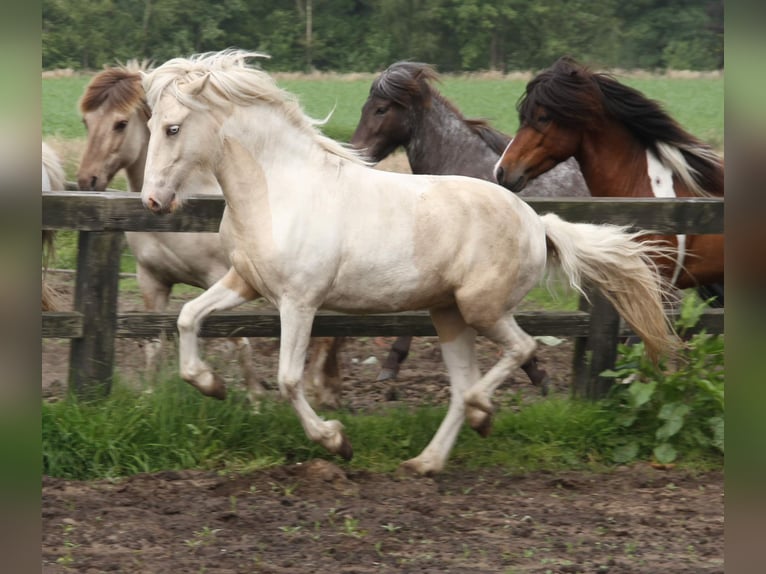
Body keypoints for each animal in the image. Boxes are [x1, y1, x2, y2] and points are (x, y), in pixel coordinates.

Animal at [77, 62, 344, 405]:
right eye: (86, 121)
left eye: (120, 124)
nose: (87, 180)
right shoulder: (152, 280)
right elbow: (153, 343)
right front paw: (150, 395)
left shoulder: (219, 275)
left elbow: (238, 339)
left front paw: (253, 396)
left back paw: (324, 388)